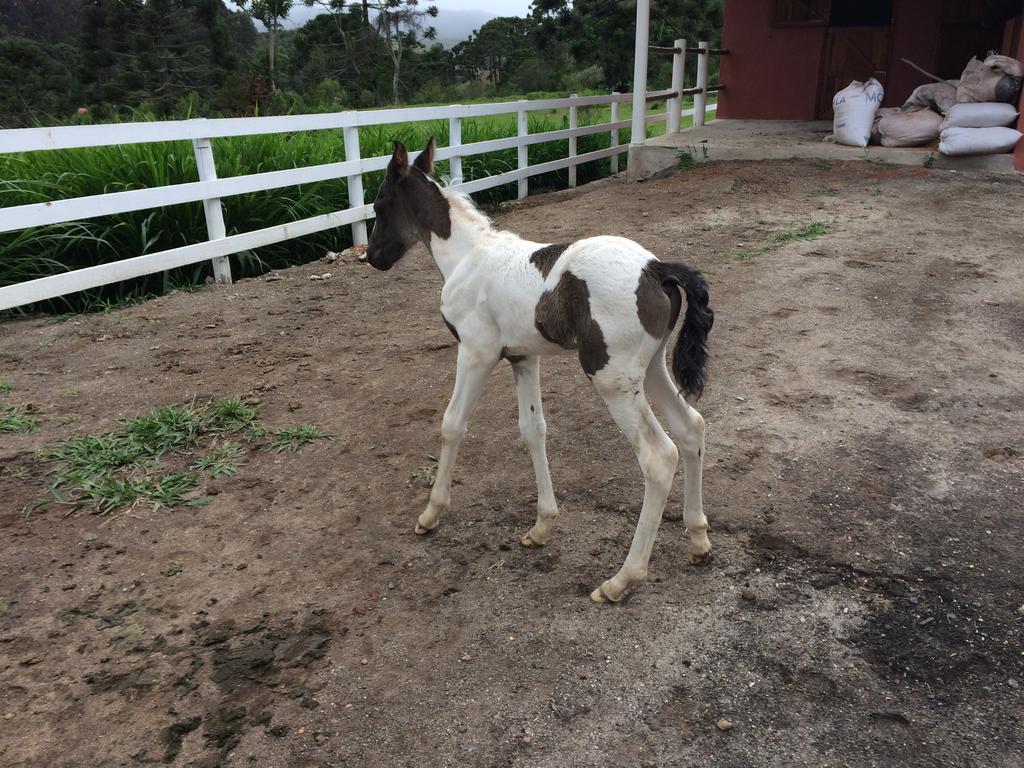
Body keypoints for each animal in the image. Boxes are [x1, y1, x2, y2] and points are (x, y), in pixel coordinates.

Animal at [366, 140, 712, 606]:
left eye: (379, 204)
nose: (373, 258)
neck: (468, 257)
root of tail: (655, 268)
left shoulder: (476, 353)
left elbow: (452, 424)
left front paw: (431, 512)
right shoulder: (523, 358)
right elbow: (533, 430)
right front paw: (542, 526)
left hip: (611, 377)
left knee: (659, 457)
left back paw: (622, 580)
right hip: (653, 367)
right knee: (691, 428)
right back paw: (698, 540)